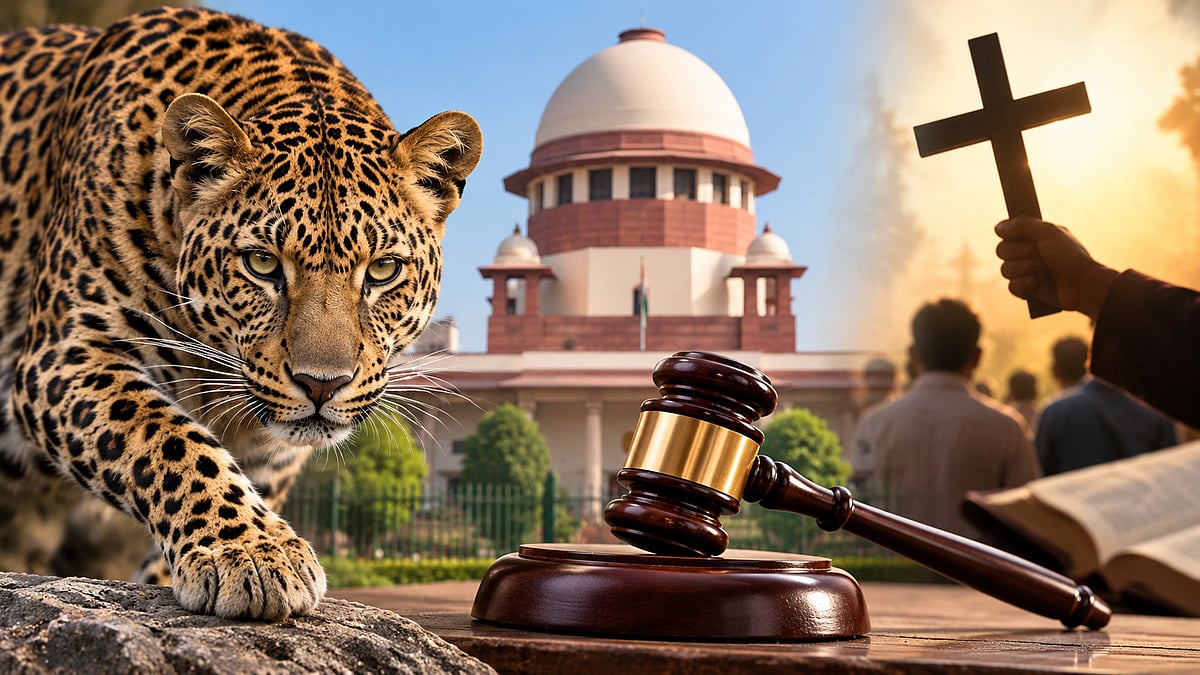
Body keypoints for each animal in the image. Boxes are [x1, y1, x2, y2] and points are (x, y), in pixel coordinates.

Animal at [0, 6, 481, 620]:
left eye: (382, 270)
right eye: (262, 263)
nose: (321, 385)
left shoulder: (273, 453)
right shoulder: (66, 353)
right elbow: (167, 439)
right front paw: (249, 552)